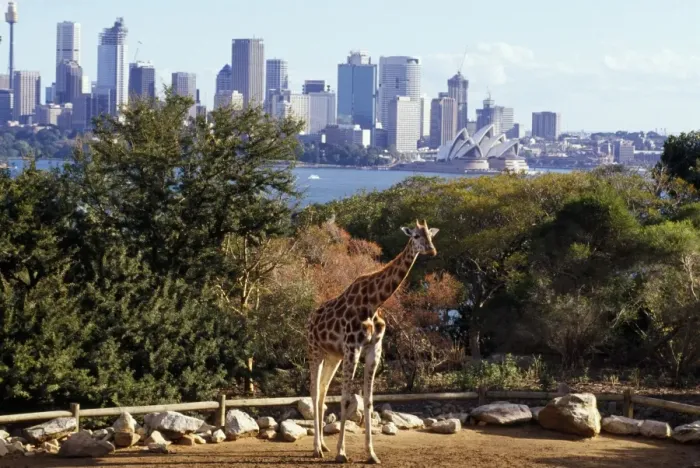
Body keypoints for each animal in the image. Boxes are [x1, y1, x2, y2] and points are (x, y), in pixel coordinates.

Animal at [307, 220, 439, 464]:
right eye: (415, 236)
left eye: (430, 235)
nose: (431, 250)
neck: (375, 302)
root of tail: (310, 319)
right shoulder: (353, 348)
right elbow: (346, 400)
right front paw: (342, 453)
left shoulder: (372, 350)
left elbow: (368, 401)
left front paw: (371, 454)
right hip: (314, 350)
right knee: (313, 390)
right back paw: (317, 449)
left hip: (333, 356)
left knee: (322, 390)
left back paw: (323, 446)